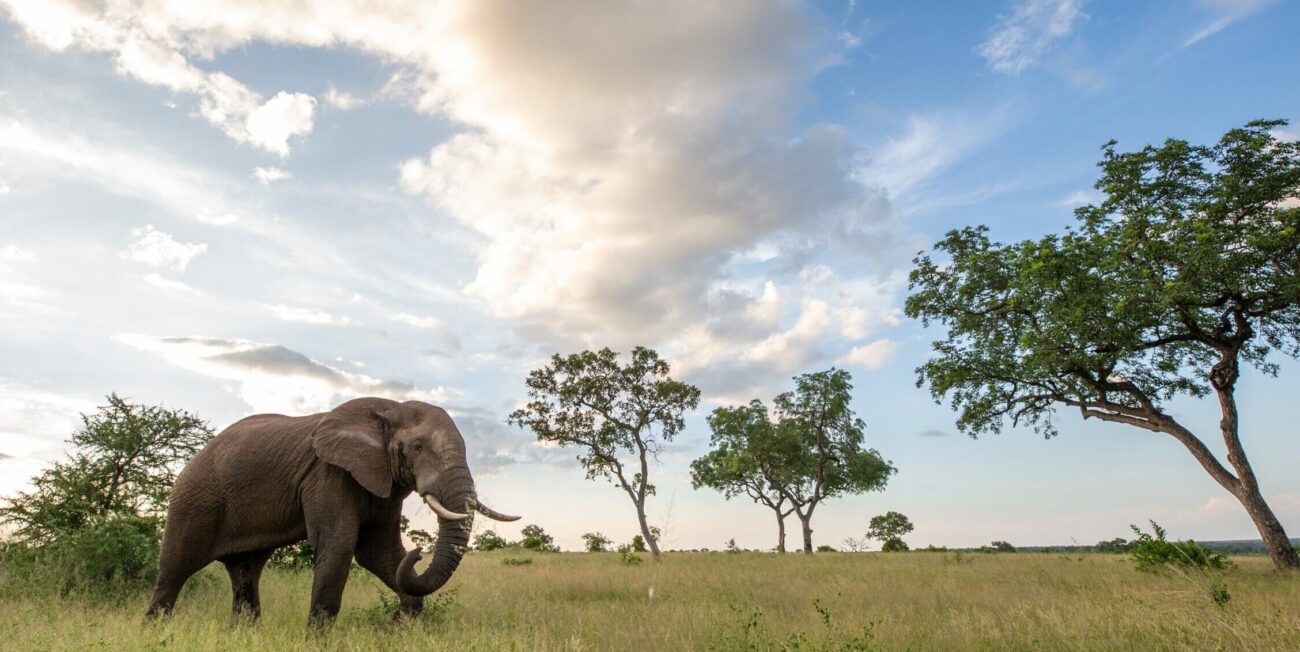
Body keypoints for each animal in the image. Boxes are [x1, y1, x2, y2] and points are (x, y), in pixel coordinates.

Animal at [146, 394, 517, 623]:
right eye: (417, 447)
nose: (419, 551)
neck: (389, 410)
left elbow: (380, 553)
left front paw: (399, 628)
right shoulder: (327, 472)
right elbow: (339, 545)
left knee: (245, 573)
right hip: (193, 499)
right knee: (174, 570)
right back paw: (154, 630)